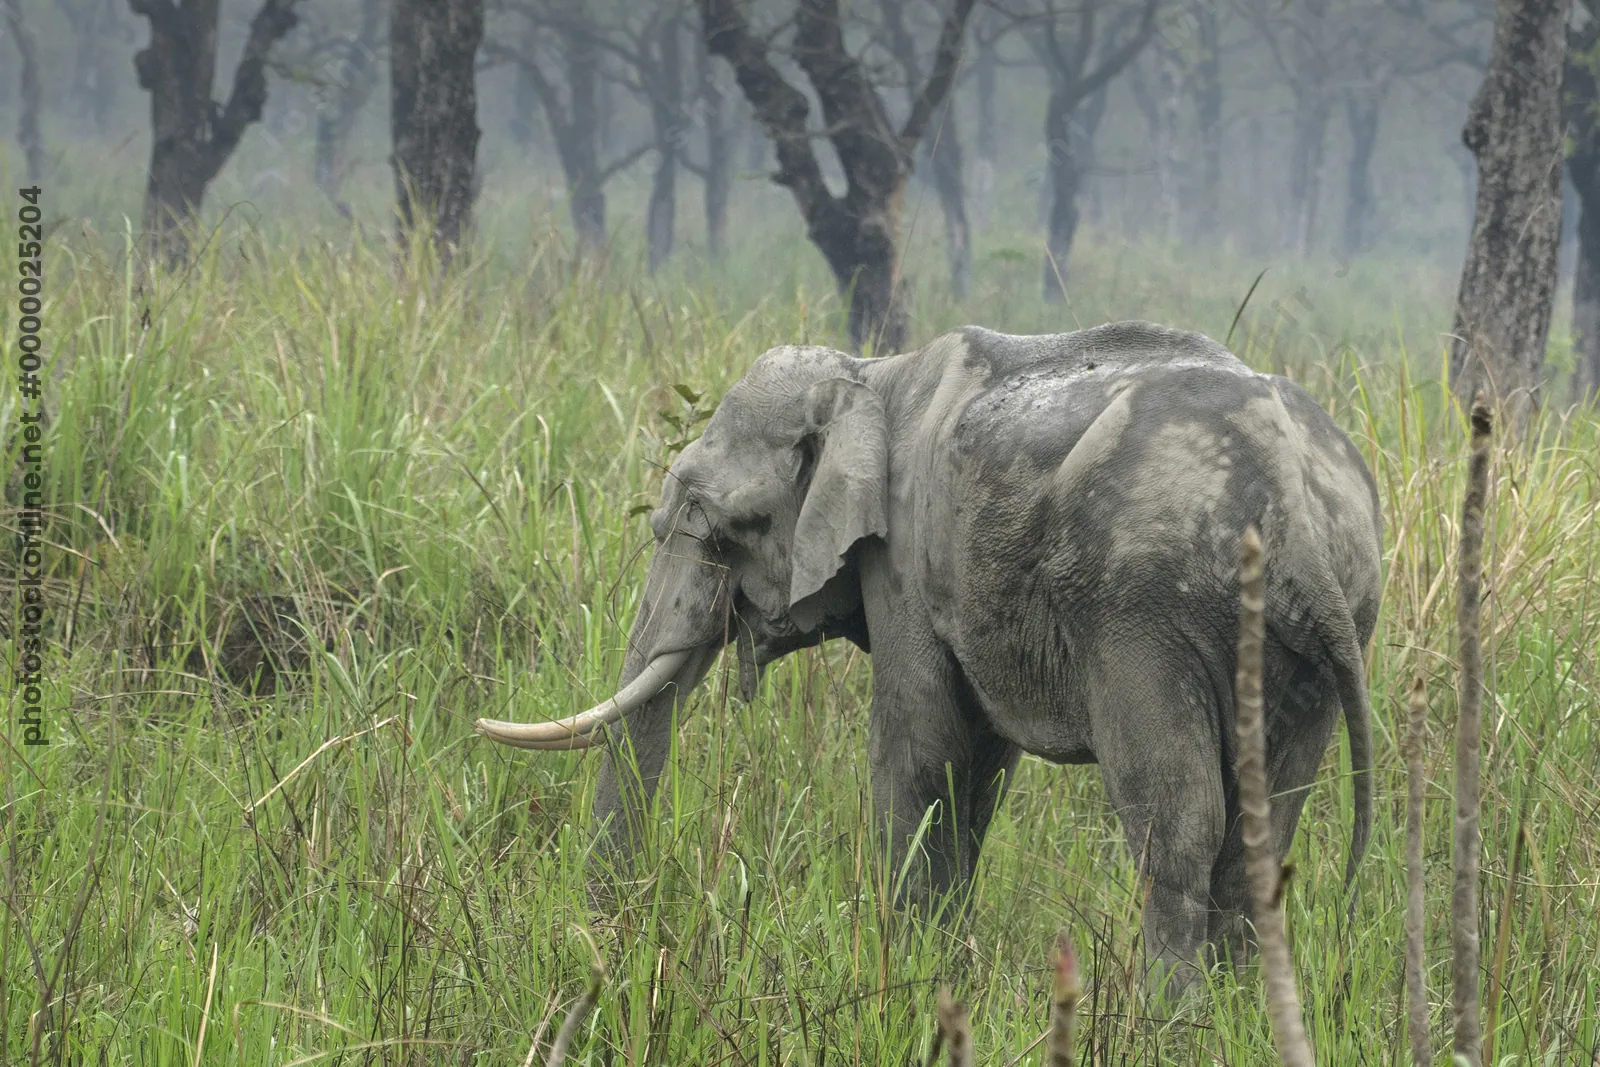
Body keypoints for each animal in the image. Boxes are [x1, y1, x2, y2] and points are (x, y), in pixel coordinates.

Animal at [478, 321, 1381, 996]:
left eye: (713, 521)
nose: (606, 948)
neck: (868, 377)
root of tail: (1295, 511)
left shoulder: (905, 557)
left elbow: (919, 751)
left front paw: (909, 985)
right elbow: (976, 770)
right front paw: (944, 976)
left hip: (1145, 611)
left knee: (1174, 822)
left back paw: (1170, 1025)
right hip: (1307, 643)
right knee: (1263, 826)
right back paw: (1238, 1016)